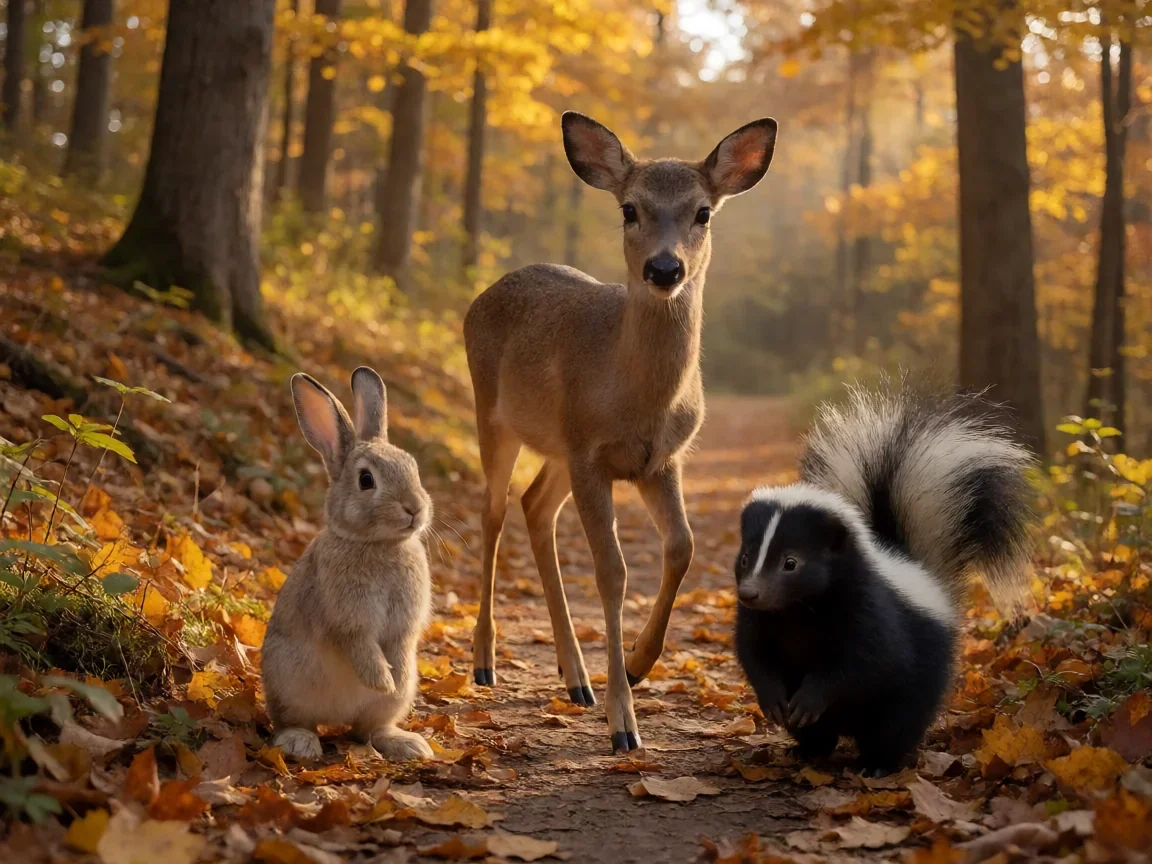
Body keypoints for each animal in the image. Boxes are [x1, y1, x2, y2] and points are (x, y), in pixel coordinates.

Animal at [464, 112, 778, 753]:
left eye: (703, 212)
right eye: (630, 208)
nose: (664, 269)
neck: (639, 400)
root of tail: (481, 296)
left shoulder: (659, 460)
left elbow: (682, 547)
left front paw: (636, 664)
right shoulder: (591, 454)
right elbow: (612, 572)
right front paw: (624, 722)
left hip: (559, 448)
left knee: (535, 505)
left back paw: (575, 675)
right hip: (494, 415)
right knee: (495, 511)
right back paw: (485, 661)